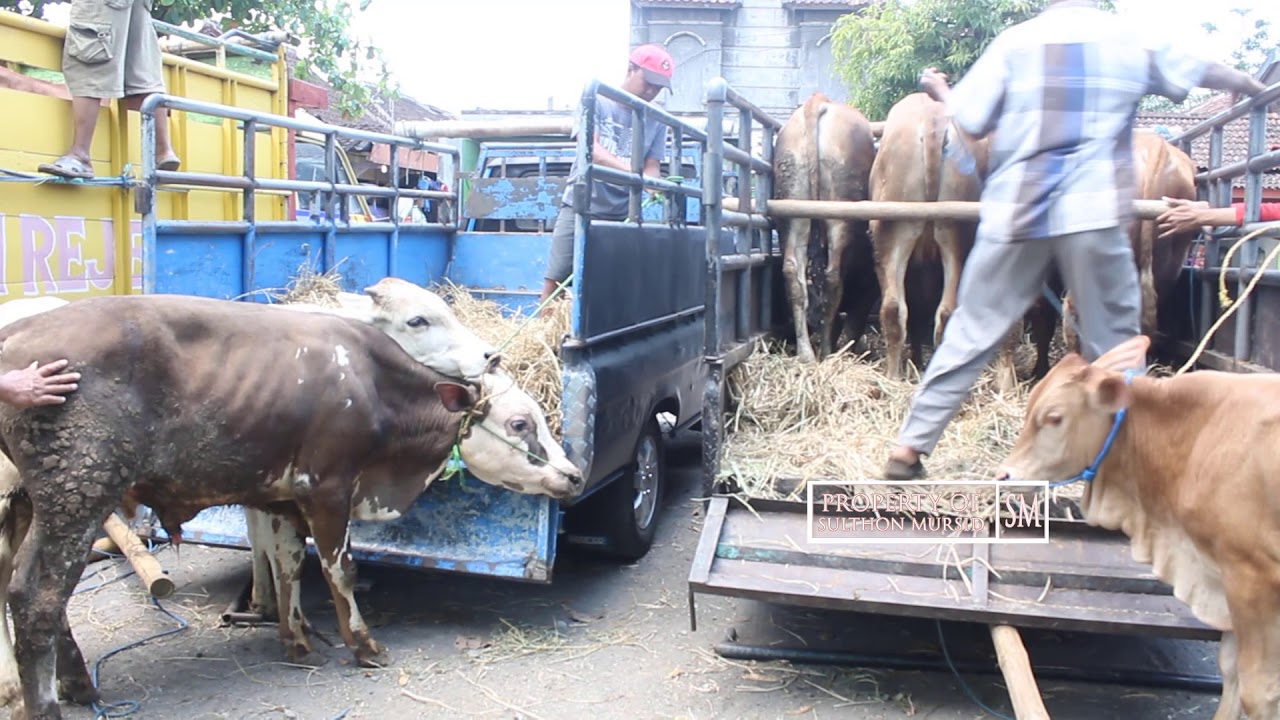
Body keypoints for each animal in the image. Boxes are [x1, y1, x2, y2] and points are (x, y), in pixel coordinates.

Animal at [0, 293, 583, 717]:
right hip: (77, 494)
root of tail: (18, 332)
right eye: (519, 423)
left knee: (26, 590)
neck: (372, 384)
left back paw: (78, 683)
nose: (574, 475)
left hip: (34, 502)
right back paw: (48, 703)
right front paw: (363, 645)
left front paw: (296, 636)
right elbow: (340, 569)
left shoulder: (281, 495)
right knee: (36, 597)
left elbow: (289, 564)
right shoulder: (327, 488)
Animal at [768, 90, 880, 358]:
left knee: (793, 273)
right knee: (832, 277)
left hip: (794, 209)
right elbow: (854, 321)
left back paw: (807, 353)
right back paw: (827, 352)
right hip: (839, 213)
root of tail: (818, 101)